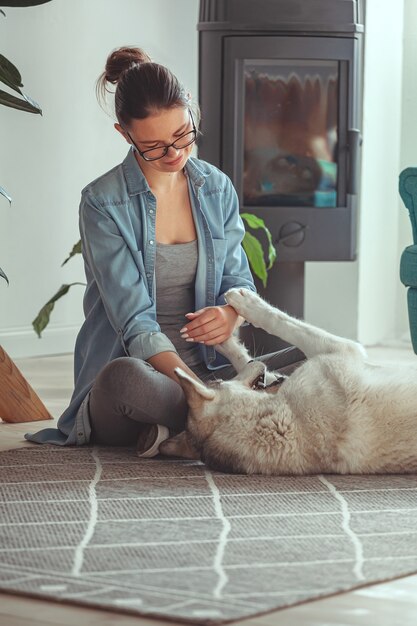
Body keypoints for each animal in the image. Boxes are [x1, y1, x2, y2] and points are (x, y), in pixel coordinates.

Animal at [161, 288, 416, 472]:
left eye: (220, 379)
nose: (257, 364)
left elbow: (251, 353)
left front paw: (220, 334)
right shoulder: (343, 350)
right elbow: (283, 323)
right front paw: (246, 308)